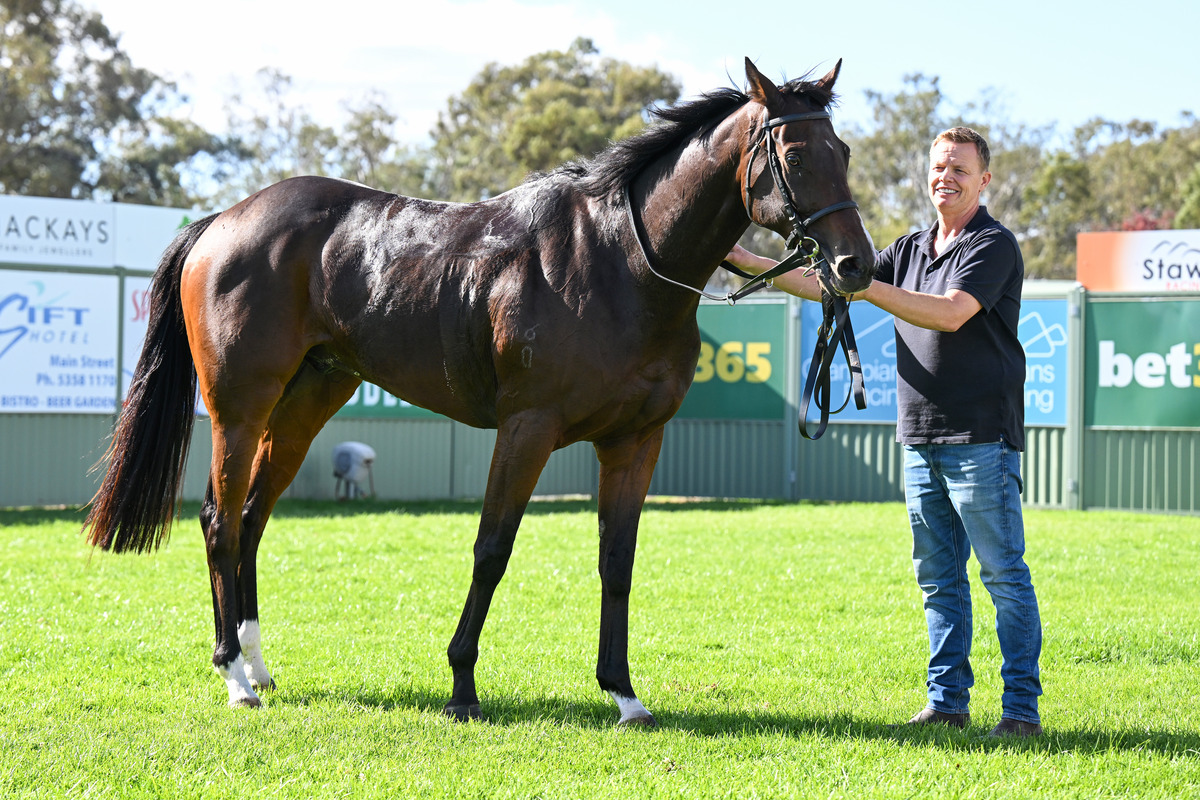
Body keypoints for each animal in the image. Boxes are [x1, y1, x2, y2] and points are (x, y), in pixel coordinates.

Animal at [83, 58, 874, 726]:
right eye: (795, 155)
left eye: (843, 152)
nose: (855, 265)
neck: (619, 261)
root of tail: (222, 221)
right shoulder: (527, 428)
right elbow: (492, 548)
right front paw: (462, 686)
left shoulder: (634, 441)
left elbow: (616, 562)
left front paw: (623, 692)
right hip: (239, 408)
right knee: (219, 520)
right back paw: (235, 679)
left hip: (309, 400)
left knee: (251, 518)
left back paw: (257, 664)